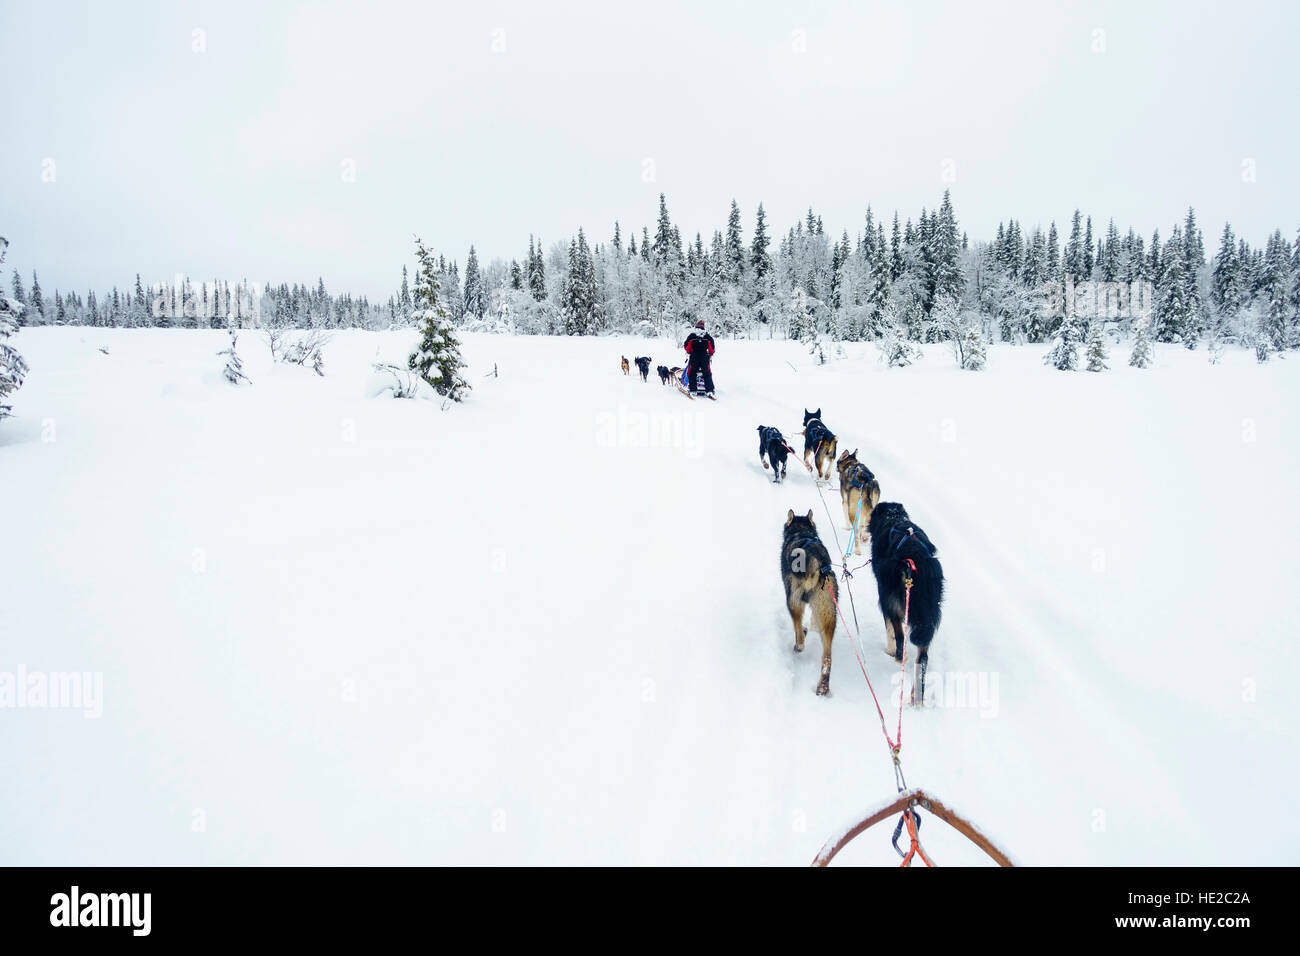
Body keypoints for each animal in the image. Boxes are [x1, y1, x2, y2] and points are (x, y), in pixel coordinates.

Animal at [780, 509, 842, 697]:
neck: (802, 532)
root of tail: (817, 564)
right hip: (829, 612)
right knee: (827, 657)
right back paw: (823, 687)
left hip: (793, 601)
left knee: (799, 635)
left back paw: (799, 643)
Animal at [868, 509, 941, 702]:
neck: (894, 517)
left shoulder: (886, 601)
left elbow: (891, 632)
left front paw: (890, 650)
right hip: (929, 614)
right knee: (922, 658)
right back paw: (917, 697)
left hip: (891, 601)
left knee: (900, 637)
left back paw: (898, 657)